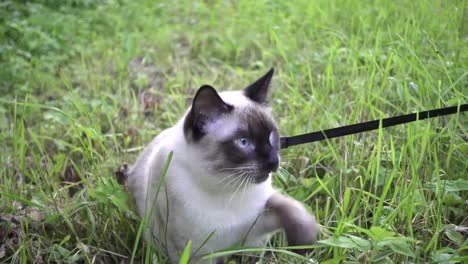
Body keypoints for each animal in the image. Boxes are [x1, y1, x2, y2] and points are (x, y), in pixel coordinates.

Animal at [127, 69, 318, 262]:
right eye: (243, 142)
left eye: (271, 136)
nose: (273, 161)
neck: (225, 190)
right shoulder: (198, 254)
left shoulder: (255, 225)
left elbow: (288, 208)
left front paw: (304, 242)